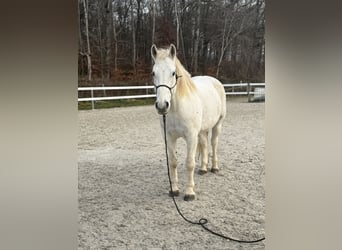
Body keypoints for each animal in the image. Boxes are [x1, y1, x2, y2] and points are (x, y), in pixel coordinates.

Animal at [151, 44, 226, 201]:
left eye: (173, 73)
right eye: (153, 73)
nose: (162, 105)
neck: (177, 108)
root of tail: (215, 81)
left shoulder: (191, 136)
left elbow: (190, 163)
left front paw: (190, 192)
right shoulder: (169, 137)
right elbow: (173, 162)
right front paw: (174, 190)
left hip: (218, 125)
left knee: (214, 144)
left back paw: (214, 167)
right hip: (202, 130)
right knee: (204, 144)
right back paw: (203, 168)